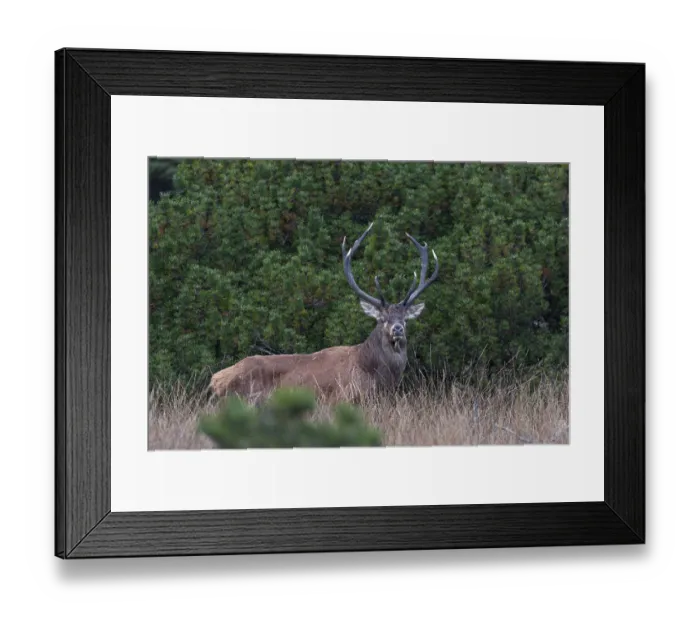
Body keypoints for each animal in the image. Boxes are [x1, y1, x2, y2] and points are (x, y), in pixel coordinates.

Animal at [208, 222, 439, 405]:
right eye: (382, 319)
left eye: (405, 319)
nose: (397, 329)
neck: (374, 374)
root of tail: (214, 380)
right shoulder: (342, 399)